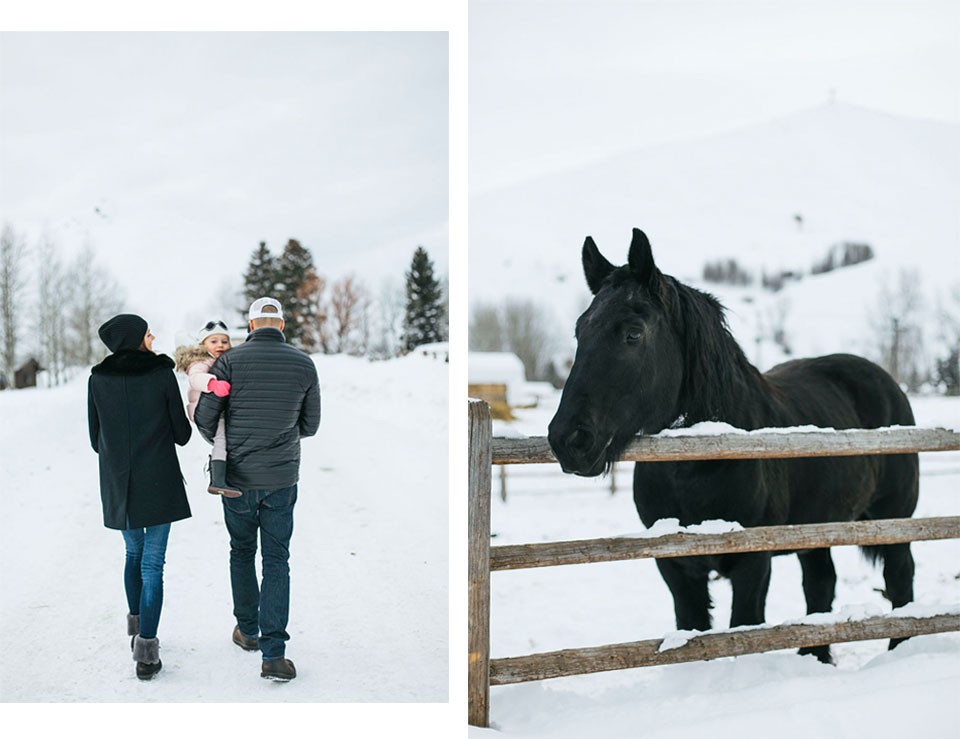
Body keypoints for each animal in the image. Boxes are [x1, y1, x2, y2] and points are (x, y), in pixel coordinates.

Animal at [547, 228, 919, 663]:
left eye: (633, 333)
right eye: (580, 331)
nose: (568, 439)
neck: (700, 459)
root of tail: (884, 379)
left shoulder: (751, 564)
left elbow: (744, 628)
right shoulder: (675, 567)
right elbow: (692, 628)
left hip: (894, 519)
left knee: (899, 578)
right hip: (817, 529)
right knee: (820, 583)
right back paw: (815, 657)